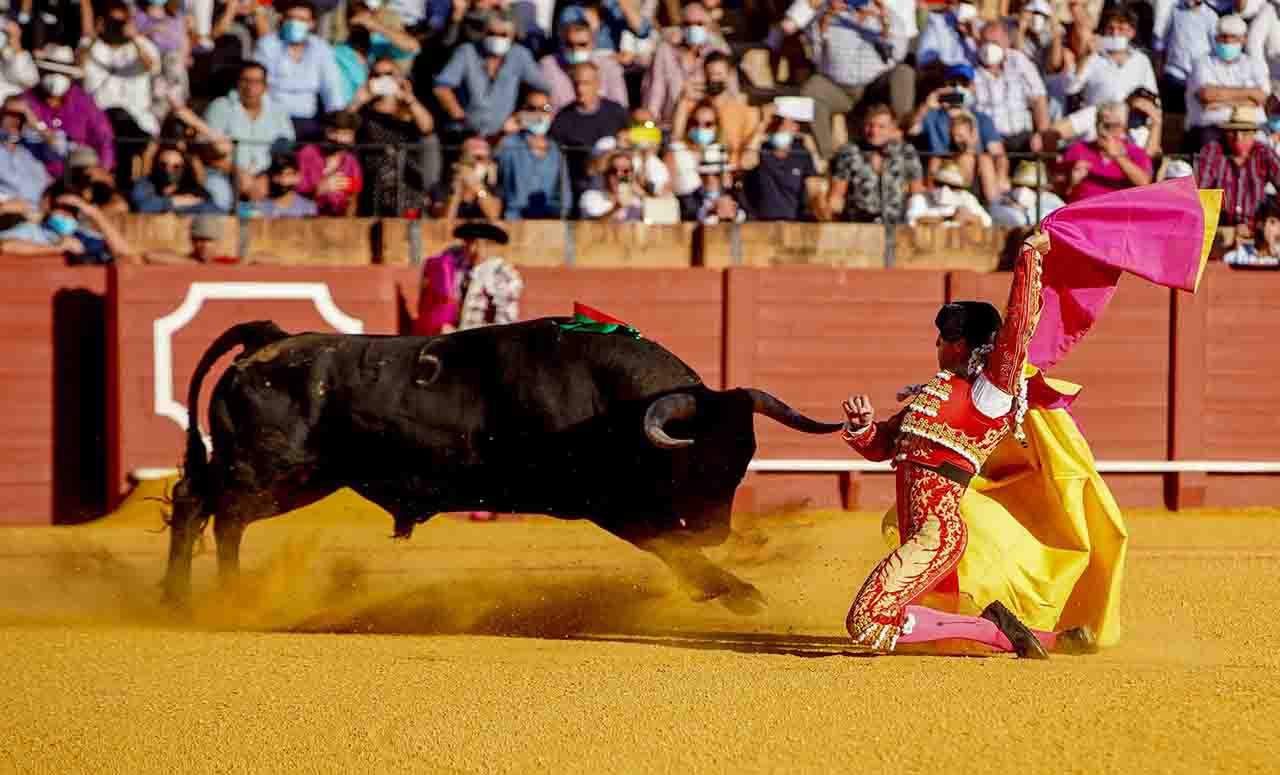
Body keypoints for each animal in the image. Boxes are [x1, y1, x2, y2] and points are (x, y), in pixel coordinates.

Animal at [165, 320, 844, 609]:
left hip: (299, 477)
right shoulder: (606, 502)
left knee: (207, 509)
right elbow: (665, 542)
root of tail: (268, 340)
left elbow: (669, 543)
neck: (610, 402)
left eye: (745, 456)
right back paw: (211, 599)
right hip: (270, 469)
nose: (717, 531)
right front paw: (737, 592)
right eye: (695, 460)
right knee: (211, 510)